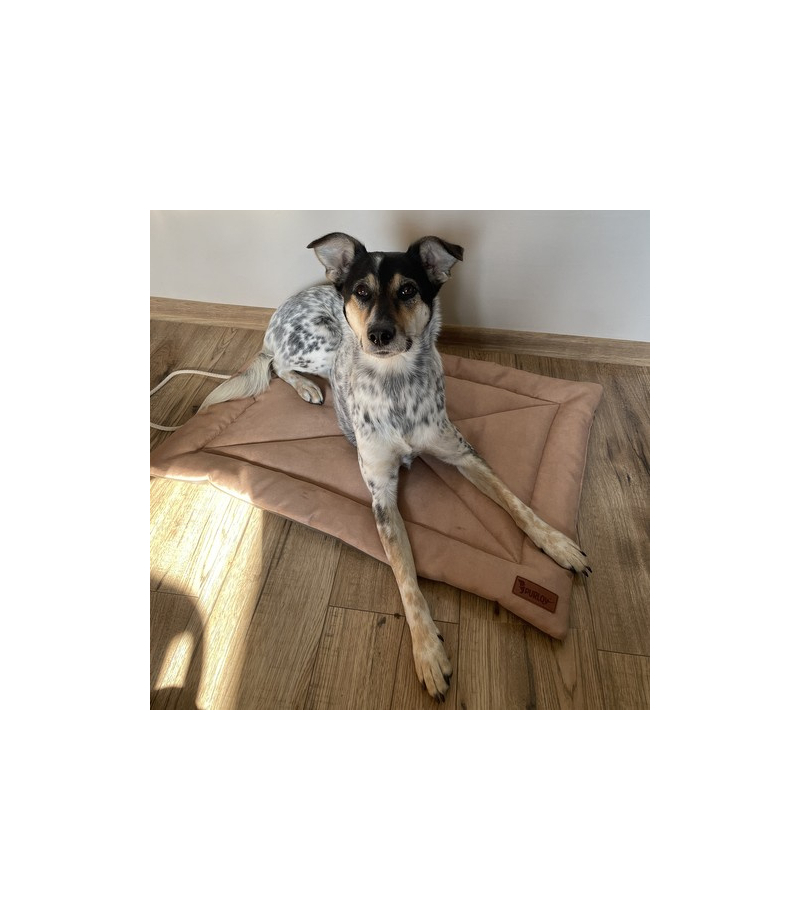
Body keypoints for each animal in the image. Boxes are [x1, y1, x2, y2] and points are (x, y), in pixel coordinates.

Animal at [200, 233, 591, 701]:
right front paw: (427, 652)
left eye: (408, 290)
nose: (379, 334)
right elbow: (406, 577)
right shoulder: (382, 496)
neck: (396, 382)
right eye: (362, 292)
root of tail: (283, 308)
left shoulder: (461, 451)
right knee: (276, 363)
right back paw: (306, 388)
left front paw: (557, 544)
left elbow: (515, 502)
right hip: (321, 345)